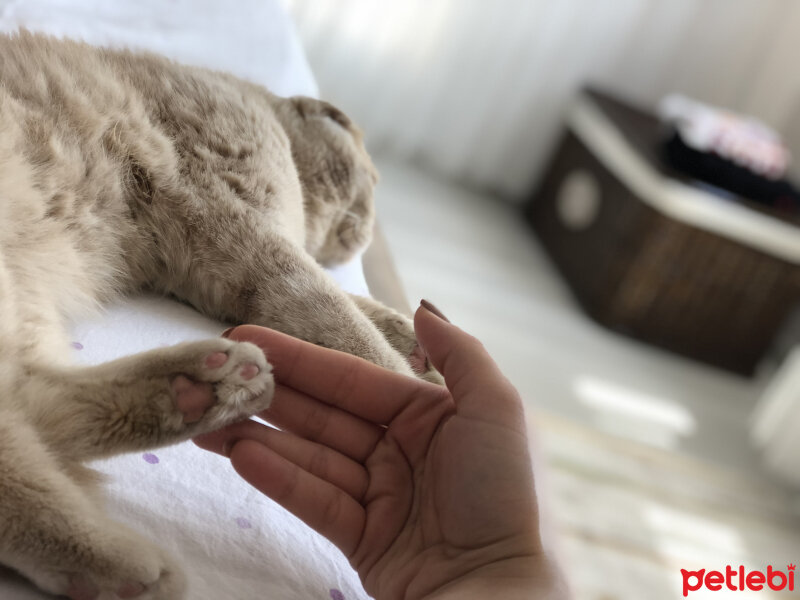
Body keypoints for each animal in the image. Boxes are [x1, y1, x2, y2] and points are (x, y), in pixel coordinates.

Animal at [0, 31, 438, 600]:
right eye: (373, 183)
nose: (368, 230)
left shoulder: (219, 275)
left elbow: (363, 312)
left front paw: (419, 344)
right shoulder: (249, 233)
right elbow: (348, 325)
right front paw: (418, 395)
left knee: (34, 402)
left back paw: (201, 388)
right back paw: (123, 562)